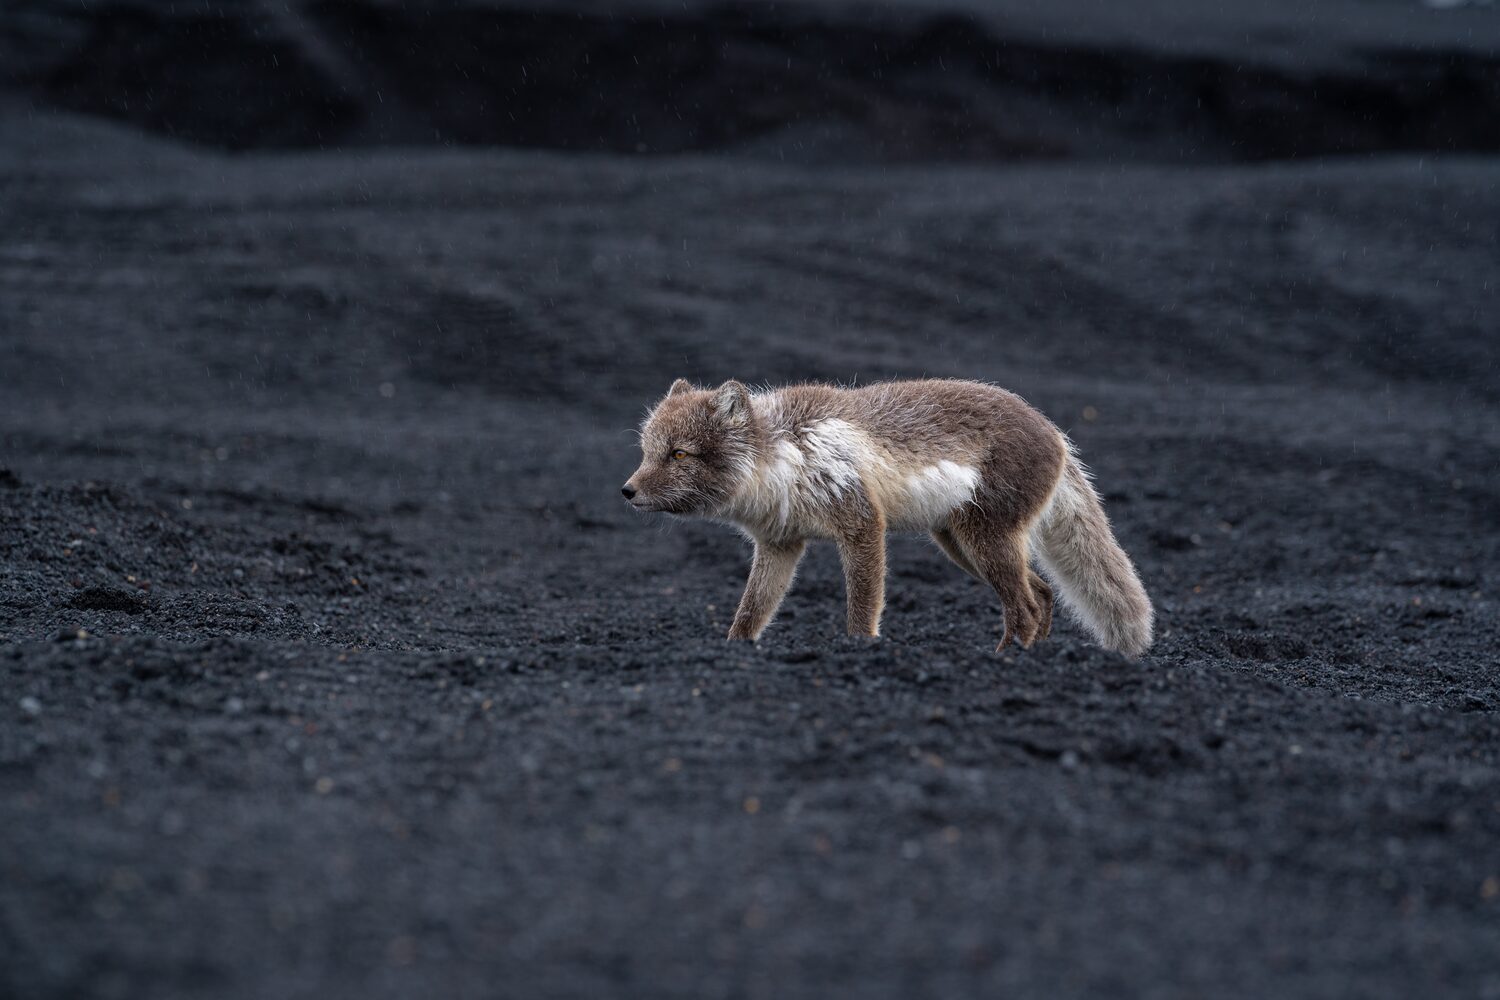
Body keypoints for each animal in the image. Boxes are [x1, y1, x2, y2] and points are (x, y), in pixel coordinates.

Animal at [622, 378, 1153, 657]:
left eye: (679, 454)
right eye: (647, 452)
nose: (626, 492)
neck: (785, 457)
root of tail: (1057, 433)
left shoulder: (862, 525)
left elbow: (862, 609)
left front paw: (861, 652)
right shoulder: (779, 544)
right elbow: (750, 613)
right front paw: (733, 653)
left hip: (984, 541)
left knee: (1024, 605)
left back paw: (1005, 661)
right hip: (962, 546)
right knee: (1041, 595)